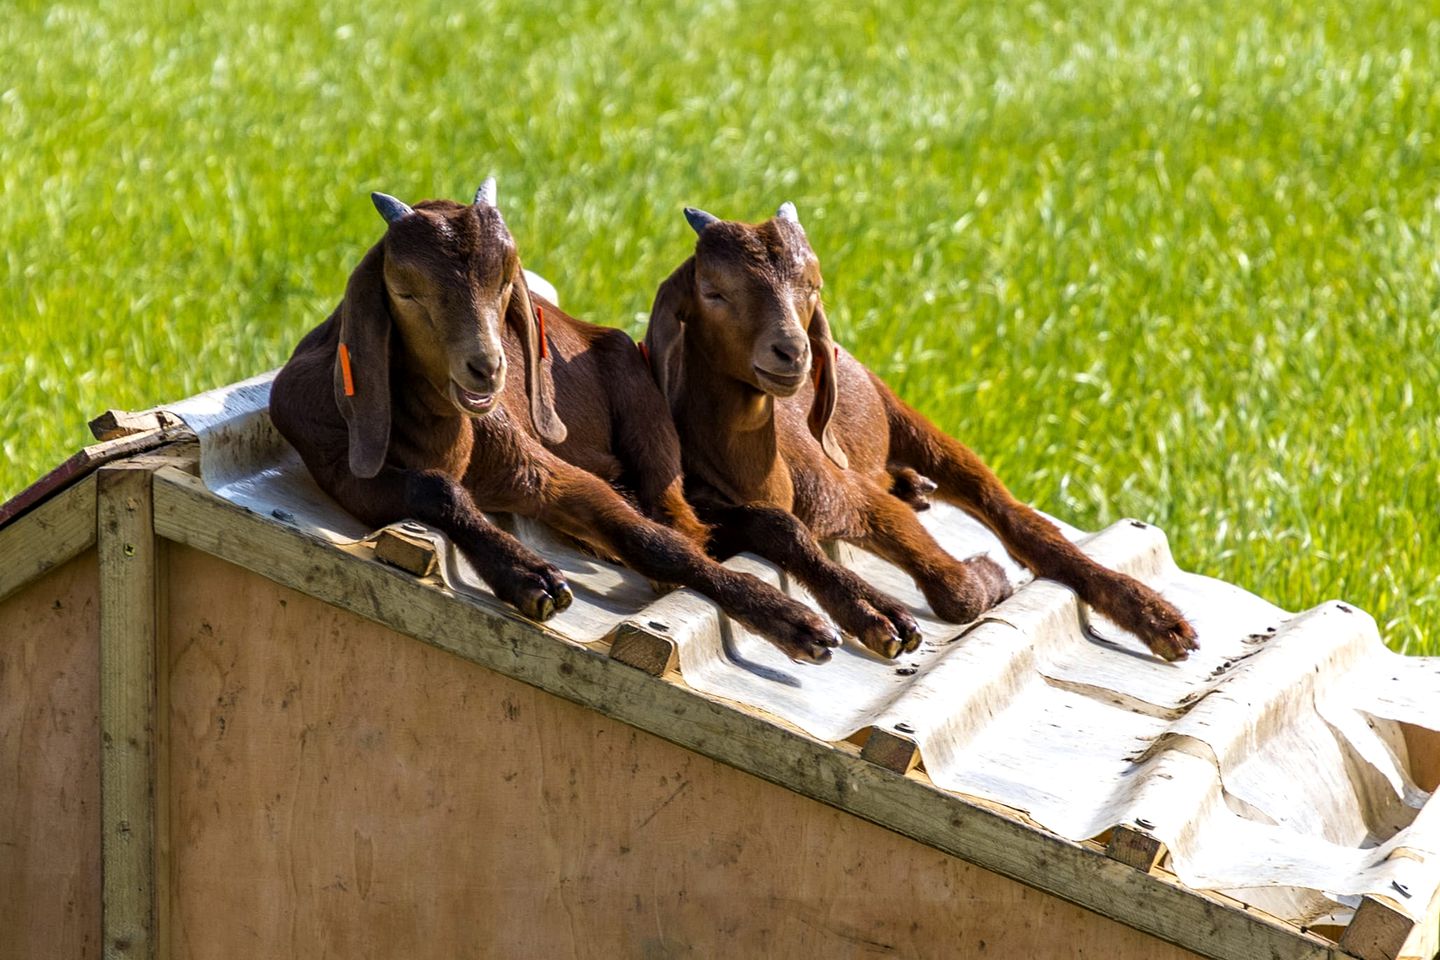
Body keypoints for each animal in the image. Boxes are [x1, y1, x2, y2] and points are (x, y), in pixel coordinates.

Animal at [267, 182, 840, 662]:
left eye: (504, 283)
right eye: (406, 291)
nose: (487, 367)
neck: (444, 438)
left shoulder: (540, 467)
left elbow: (652, 541)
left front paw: (794, 620)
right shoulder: (341, 471)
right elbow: (434, 490)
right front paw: (530, 578)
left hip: (649, 424)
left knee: (690, 523)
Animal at [648, 202, 1198, 664]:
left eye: (813, 286)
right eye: (713, 291)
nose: (792, 351)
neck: (768, 474)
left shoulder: (854, 494)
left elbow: (956, 590)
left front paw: (989, 577)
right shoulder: (715, 512)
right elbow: (777, 527)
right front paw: (874, 614)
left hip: (906, 418)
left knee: (1012, 514)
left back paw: (1160, 620)